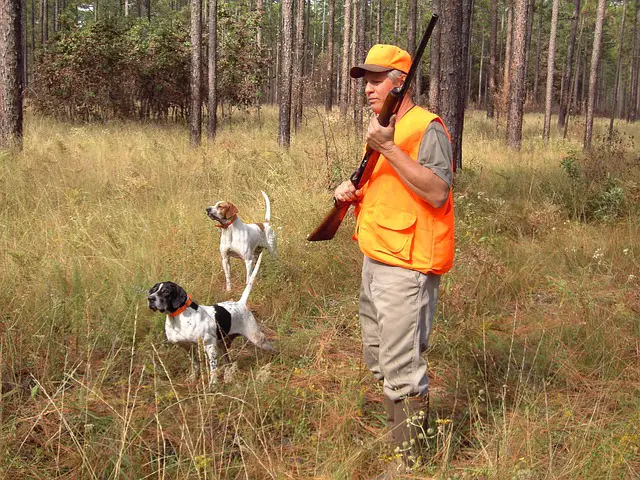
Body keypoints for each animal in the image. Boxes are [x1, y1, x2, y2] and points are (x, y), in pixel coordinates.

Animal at [146, 251, 274, 386]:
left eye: (166, 291)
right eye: (153, 290)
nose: (150, 298)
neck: (178, 318)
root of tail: (240, 303)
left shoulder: (210, 346)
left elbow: (213, 369)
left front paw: (213, 384)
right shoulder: (188, 348)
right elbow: (195, 365)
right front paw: (193, 378)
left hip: (257, 339)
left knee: (271, 348)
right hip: (223, 345)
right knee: (228, 362)